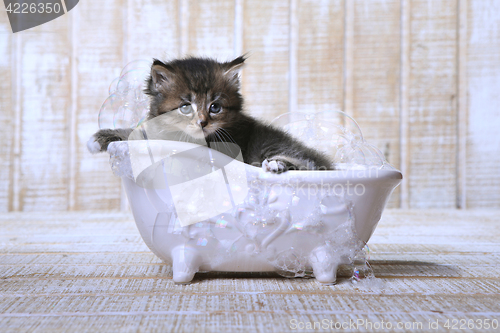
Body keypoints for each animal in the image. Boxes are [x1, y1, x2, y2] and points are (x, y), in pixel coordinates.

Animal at [89, 55, 332, 172]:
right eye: (186, 106)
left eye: (215, 107)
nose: (202, 122)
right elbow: (136, 134)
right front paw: (102, 137)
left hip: (269, 144)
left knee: (309, 164)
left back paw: (276, 164)